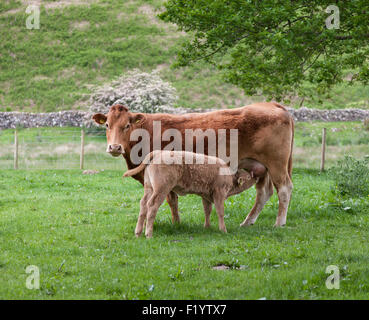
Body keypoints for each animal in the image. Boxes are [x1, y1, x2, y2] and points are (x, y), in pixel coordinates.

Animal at [93, 102, 294, 228]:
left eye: (127, 125)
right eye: (107, 125)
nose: (115, 147)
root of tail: (271, 105)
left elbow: (170, 200)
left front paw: (176, 223)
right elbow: (172, 201)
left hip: (276, 164)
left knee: (284, 189)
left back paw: (279, 223)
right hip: (260, 167)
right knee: (264, 193)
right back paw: (247, 222)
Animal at [122, 150, 258, 238]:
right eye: (249, 176)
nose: (256, 177)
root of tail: (158, 152)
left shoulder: (206, 196)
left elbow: (207, 210)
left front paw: (207, 227)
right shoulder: (219, 194)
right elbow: (220, 212)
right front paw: (223, 230)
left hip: (149, 188)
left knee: (143, 204)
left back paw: (138, 232)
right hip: (161, 189)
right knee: (152, 206)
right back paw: (148, 233)